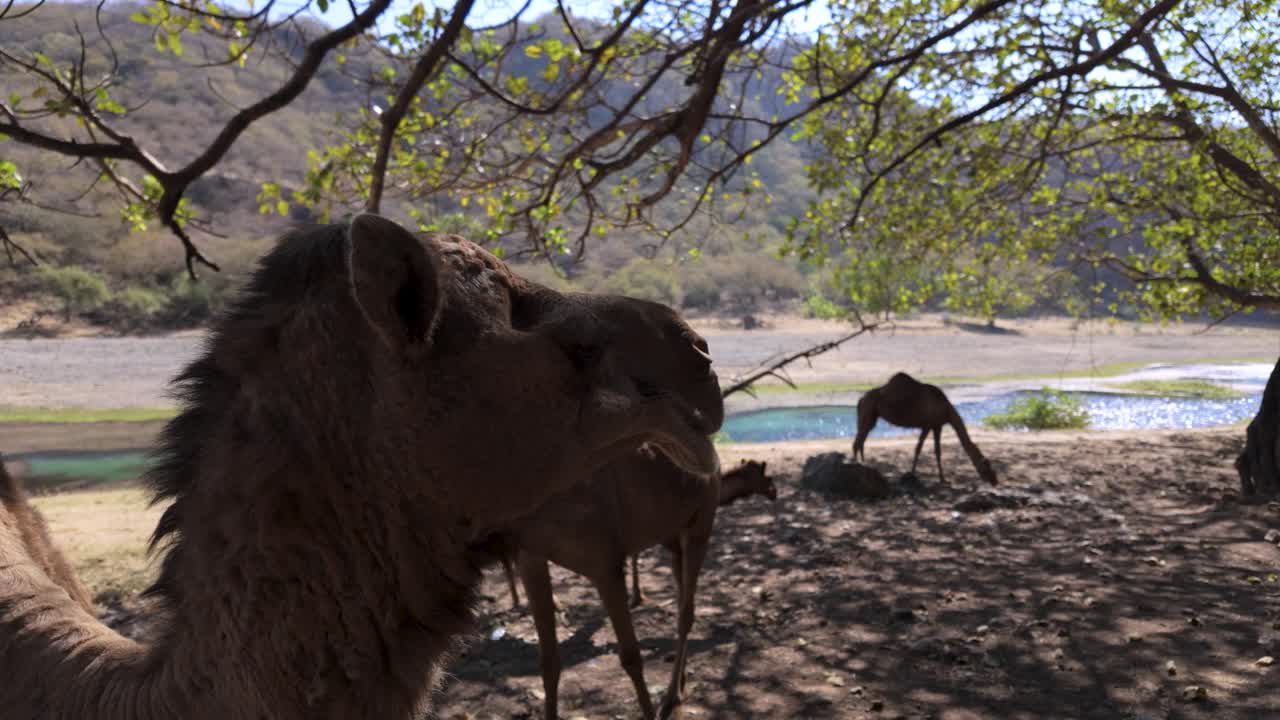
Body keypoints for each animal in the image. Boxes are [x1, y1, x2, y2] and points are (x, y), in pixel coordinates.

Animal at [500, 454, 776, 719]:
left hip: (698, 524)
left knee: (685, 613)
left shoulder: (606, 558)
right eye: (766, 475)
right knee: (685, 610)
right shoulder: (532, 555)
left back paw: (672, 695)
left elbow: (633, 651)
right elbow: (548, 661)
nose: (775, 491)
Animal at [852, 372, 998, 485]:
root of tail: (860, 400)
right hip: (867, 412)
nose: (995, 481)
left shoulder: (935, 425)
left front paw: (940, 479)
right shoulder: (928, 425)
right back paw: (856, 468)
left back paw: (864, 465)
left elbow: (933, 451)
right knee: (857, 442)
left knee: (861, 440)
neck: (947, 410)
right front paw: (917, 475)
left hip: (872, 417)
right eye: (986, 465)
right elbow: (922, 449)